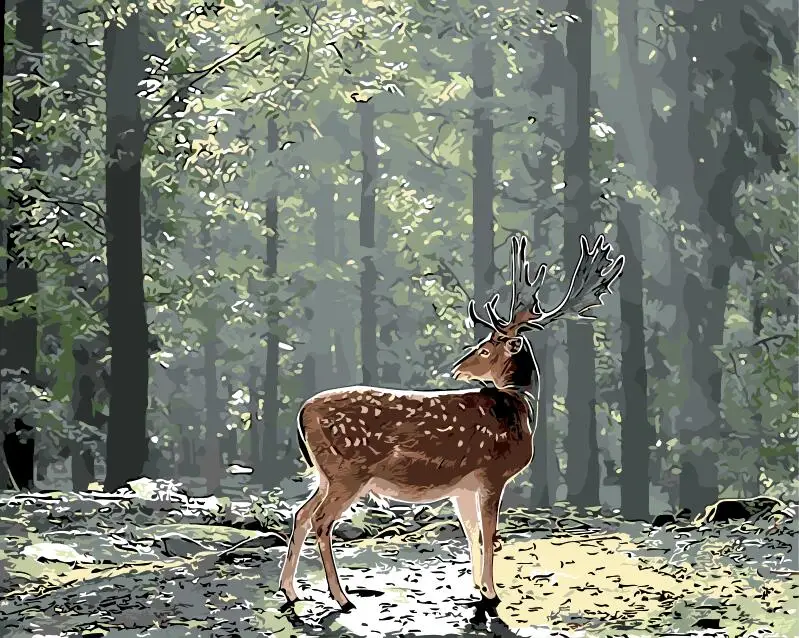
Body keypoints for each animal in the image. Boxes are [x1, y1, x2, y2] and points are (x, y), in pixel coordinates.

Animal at [278, 233, 624, 615]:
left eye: (486, 349)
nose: (458, 368)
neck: (517, 407)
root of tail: (302, 412)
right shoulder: (492, 473)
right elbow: (490, 533)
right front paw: (491, 593)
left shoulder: (464, 486)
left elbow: (472, 532)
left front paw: (477, 586)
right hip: (347, 471)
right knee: (321, 521)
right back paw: (341, 597)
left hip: (326, 474)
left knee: (300, 514)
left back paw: (291, 591)